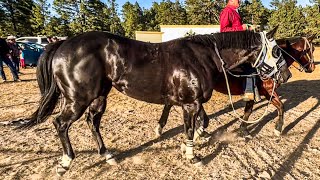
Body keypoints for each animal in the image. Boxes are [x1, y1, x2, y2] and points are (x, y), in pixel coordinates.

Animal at [18, 28, 292, 175]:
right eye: (276, 50)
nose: (286, 75)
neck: (203, 57)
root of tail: (63, 43)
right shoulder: (191, 104)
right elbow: (191, 128)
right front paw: (192, 155)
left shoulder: (187, 103)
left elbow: (193, 125)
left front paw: (189, 144)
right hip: (77, 99)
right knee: (61, 124)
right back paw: (65, 162)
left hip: (98, 97)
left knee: (92, 123)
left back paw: (107, 155)